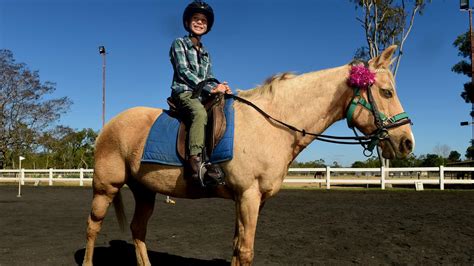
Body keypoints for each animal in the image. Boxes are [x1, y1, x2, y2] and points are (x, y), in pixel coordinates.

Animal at [83, 46, 412, 266]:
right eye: (386, 92)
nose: (407, 142)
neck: (272, 123)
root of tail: (109, 125)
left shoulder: (253, 200)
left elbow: (237, 247)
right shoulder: (248, 196)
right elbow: (245, 251)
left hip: (145, 191)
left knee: (138, 229)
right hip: (105, 187)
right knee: (93, 225)